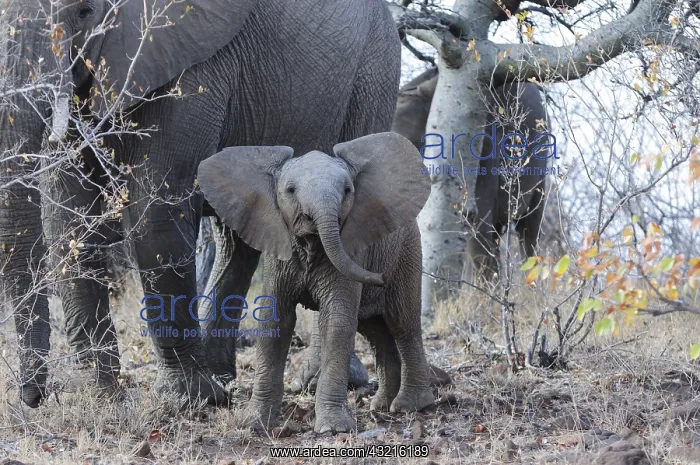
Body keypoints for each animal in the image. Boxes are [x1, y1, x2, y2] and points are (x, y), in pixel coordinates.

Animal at [0, 0, 401, 408]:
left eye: (84, 11)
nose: (34, 397)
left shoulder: (192, 64)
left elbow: (156, 212)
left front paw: (187, 399)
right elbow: (68, 213)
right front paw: (97, 395)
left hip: (374, 73)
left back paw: (311, 382)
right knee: (239, 235)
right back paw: (222, 379)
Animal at [197, 133, 435, 433]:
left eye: (347, 190)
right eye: (290, 190)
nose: (379, 277)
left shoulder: (351, 250)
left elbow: (336, 321)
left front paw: (333, 429)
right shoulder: (279, 253)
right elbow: (275, 320)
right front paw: (254, 423)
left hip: (407, 252)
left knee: (402, 322)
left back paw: (410, 406)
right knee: (375, 330)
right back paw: (381, 405)